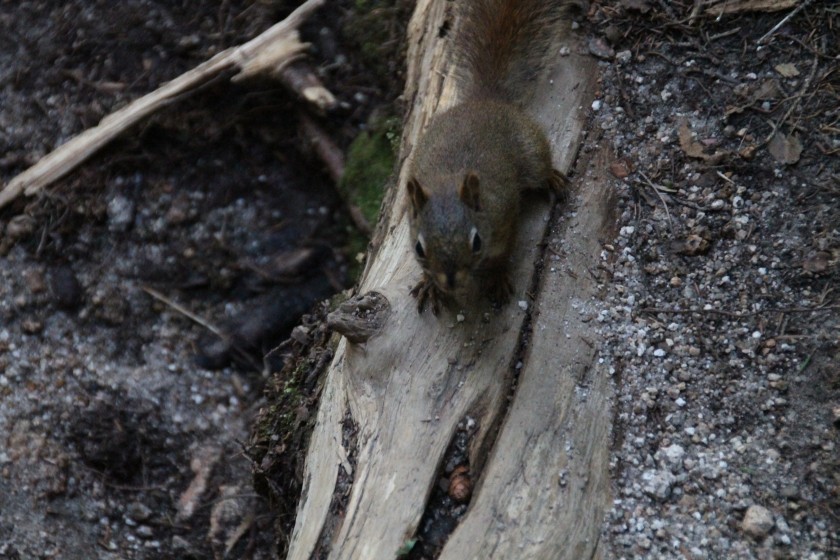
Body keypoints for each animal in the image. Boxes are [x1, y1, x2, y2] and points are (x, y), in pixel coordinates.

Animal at [406, 0, 576, 316]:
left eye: (476, 241)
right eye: (419, 248)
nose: (450, 281)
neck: (448, 183)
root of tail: (485, 100)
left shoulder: (505, 218)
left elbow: (503, 255)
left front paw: (496, 277)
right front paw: (429, 284)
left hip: (530, 148)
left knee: (540, 166)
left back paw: (552, 178)